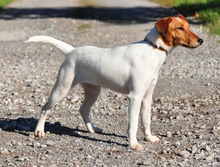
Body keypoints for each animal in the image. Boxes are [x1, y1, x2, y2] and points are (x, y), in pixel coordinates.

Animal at [27, 14, 203, 150]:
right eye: (179, 28)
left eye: (189, 26)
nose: (201, 40)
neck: (153, 48)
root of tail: (71, 51)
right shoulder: (135, 97)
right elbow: (133, 124)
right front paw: (133, 144)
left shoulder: (147, 96)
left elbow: (146, 120)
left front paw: (149, 138)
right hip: (62, 89)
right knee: (44, 108)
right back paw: (39, 131)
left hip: (93, 91)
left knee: (83, 110)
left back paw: (92, 129)